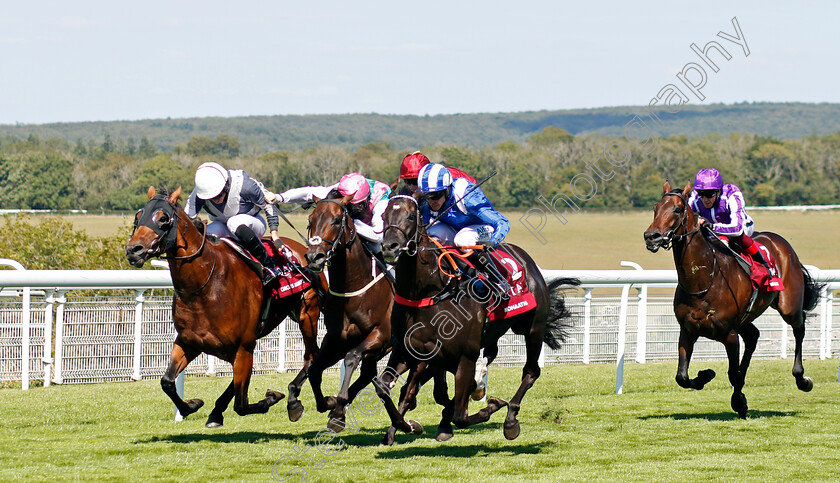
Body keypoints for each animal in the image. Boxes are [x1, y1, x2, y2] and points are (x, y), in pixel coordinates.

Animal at [124, 185, 324, 428]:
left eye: (162, 218)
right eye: (138, 216)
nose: (134, 250)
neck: (205, 285)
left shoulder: (244, 346)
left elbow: (242, 405)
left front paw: (271, 398)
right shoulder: (189, 341)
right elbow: (167, 381)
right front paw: (192, 405)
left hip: (307, 313)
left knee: (311, 356)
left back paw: (293, 401)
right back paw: (216, 411)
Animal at [302, 195, 394, 432]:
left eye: (336, 220)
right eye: (310, 221)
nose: (314, 257)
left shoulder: (380, 335)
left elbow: (352, 357)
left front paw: (338, 406)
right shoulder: (335, 338)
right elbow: (314, 371)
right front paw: (328, 403)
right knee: (369, 375)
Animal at [378, 195, 580, 444]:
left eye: (410, 216)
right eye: (384, 215)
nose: (389, 246)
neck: (430, 292)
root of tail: (527, 260)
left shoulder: (465, 354)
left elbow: (460, 414)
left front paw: (492, 406)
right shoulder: (410, 350)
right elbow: (386, 387)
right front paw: (404, 426)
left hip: (533, 328)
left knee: (531, 371)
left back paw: (510, 419)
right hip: (491, 334)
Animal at [644, 183, 820, 418]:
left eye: (677, 210)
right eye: (655, 208)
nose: (651, 236)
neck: (703, 280)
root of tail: (780, 242)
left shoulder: (729, 334)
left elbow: (732, 374)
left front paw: (739, 402)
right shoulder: (688, 330)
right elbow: (682, 377)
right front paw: (706, 375)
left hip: (788, 306)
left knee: (799, 328)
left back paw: (802, 378)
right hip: (745, 319)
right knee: (753, 336)